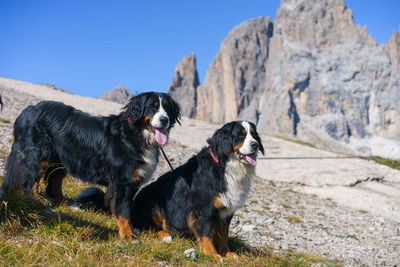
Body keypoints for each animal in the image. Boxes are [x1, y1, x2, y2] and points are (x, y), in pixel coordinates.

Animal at [0, 92, 181, 241]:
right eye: (153, 106)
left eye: (167, 108)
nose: (164, 120)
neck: (136, 135)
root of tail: (27, 110)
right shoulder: (122, 181)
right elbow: (123, 210)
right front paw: (127, 235)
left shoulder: (133, 181)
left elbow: (128, 209)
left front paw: (132, 229)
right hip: (37, 154)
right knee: (29, 183)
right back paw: (38, 204)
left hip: (60, 158)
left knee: (53, 183)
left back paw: (66, 204)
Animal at [79, 121, 264, 260]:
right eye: (240, 135)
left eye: (254, 135)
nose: (255, 145)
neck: (228, 166)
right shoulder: (203, 208)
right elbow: (207, 234)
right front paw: (213, 255)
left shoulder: (226, 211)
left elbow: (223, 235)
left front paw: (227, 253)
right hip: (153, 201)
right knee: (145, 225)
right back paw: (163, 234)